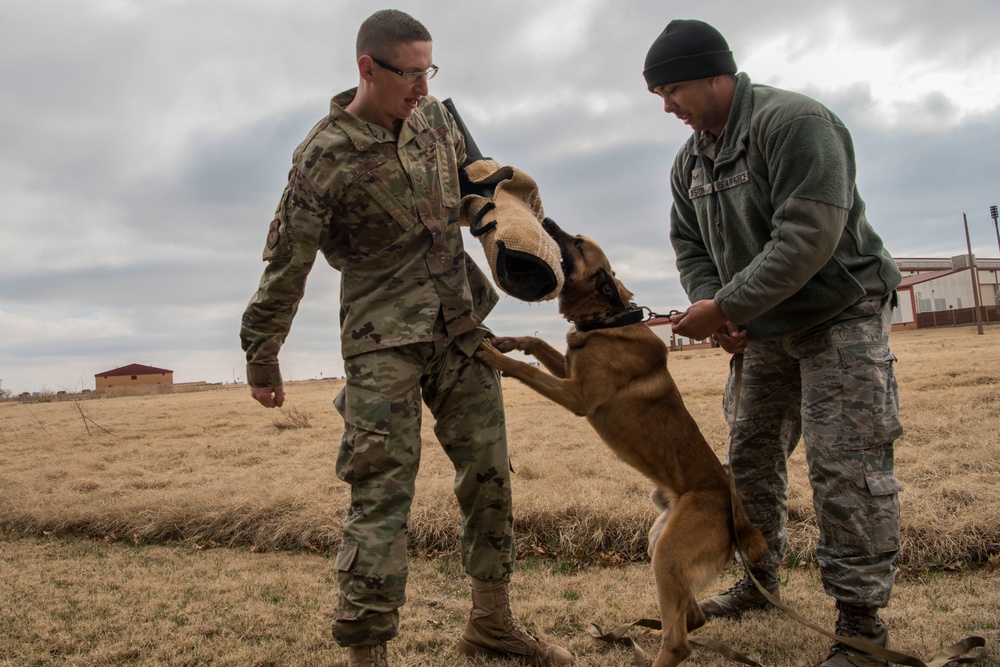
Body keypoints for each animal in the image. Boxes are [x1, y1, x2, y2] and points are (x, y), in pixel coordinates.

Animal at [474, 220, 764, 667]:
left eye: (577, 244)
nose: (548, 222)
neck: (606, 321)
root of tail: (737, 516)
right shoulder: (570, 372)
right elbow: (540, 346)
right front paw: (509, 340)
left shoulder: (576, 395)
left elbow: (530, 370)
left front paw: (494, 354)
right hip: (659, 542)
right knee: (691, 617)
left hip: (668, 555)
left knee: (680, 641)